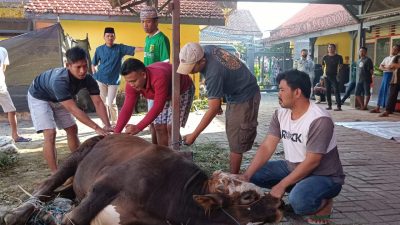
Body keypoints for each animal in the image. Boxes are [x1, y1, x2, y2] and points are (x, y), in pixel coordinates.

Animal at [3, 134, 284, 224]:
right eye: (247, 196)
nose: (280, 203)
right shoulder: (105, 185)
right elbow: (73, 220)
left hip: (76, 187)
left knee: (59, 194)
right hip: (75, 157)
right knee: (46, 187)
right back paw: (15, 215)